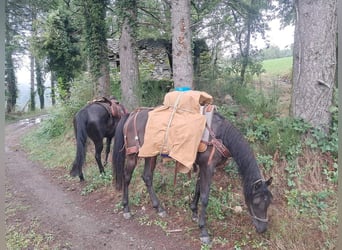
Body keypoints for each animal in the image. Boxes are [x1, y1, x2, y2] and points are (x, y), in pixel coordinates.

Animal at [112, 108, 272, 244]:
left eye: (269, 202)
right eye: (256, 202)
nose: (263, 229)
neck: (219, 135)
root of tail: (132, 114)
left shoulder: (203, 167)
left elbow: (198, 189)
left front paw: (194, 212)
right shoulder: (208, 168)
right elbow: (205, 197)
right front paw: (203, 230)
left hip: (150, 155)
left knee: (147, 177)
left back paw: (159, 208)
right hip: (133, 155)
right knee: (127, 178)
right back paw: (126, 209)